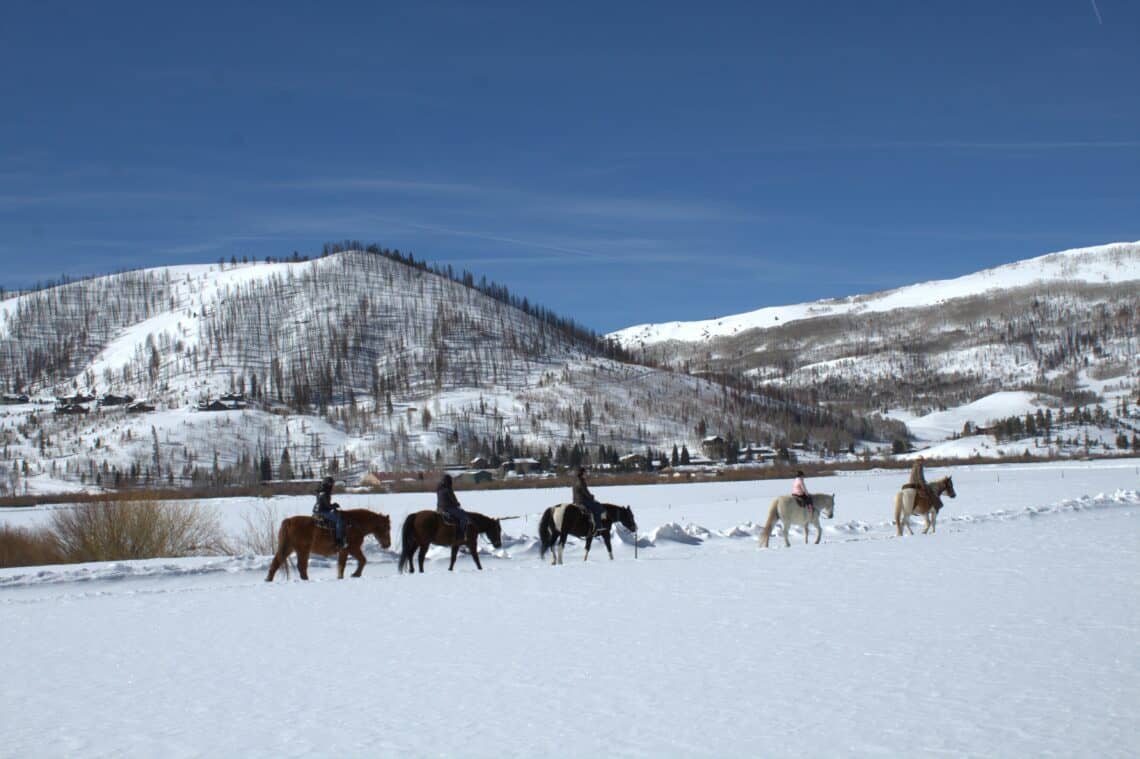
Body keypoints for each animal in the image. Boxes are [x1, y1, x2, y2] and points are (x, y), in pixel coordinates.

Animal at [264, 508, 394, 578]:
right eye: (387, 527)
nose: (388, 544)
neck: (354, 524)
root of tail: (289, 521)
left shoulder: (344, 551)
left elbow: (341, 566)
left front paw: (341, 577)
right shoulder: (352, 548)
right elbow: (362, 560)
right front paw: (355, 574)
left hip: (288, 548)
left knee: (276, 563)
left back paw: (268, 580)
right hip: (302, 550)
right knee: (301, 566)